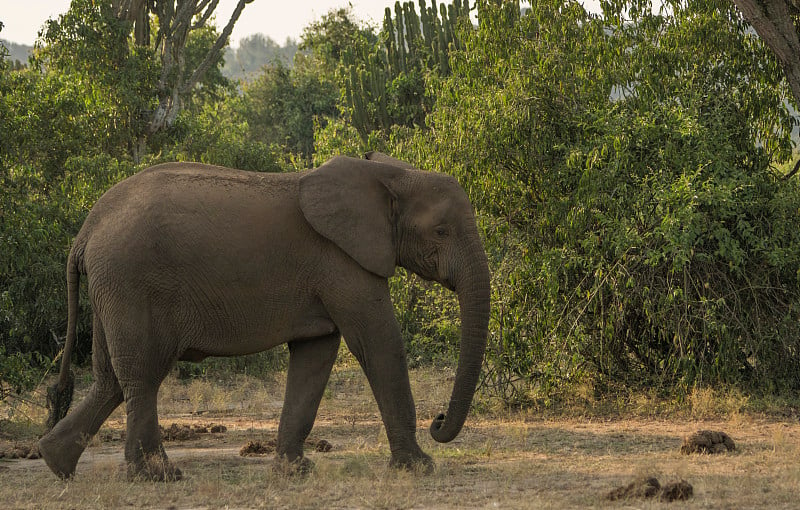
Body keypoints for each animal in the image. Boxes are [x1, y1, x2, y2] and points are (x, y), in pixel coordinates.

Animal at [39, 149, 494, 480]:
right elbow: (380, 343)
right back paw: (158, 476)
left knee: (111, 379)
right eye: (441, 231)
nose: (439, 422)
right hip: (131, 282)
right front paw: (419, 469)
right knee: (142, 373)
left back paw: (56, 463)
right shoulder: (342, 262)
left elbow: (315, 356)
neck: (385, 175)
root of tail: (86, 231)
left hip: (112, 289)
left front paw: (295, 472)